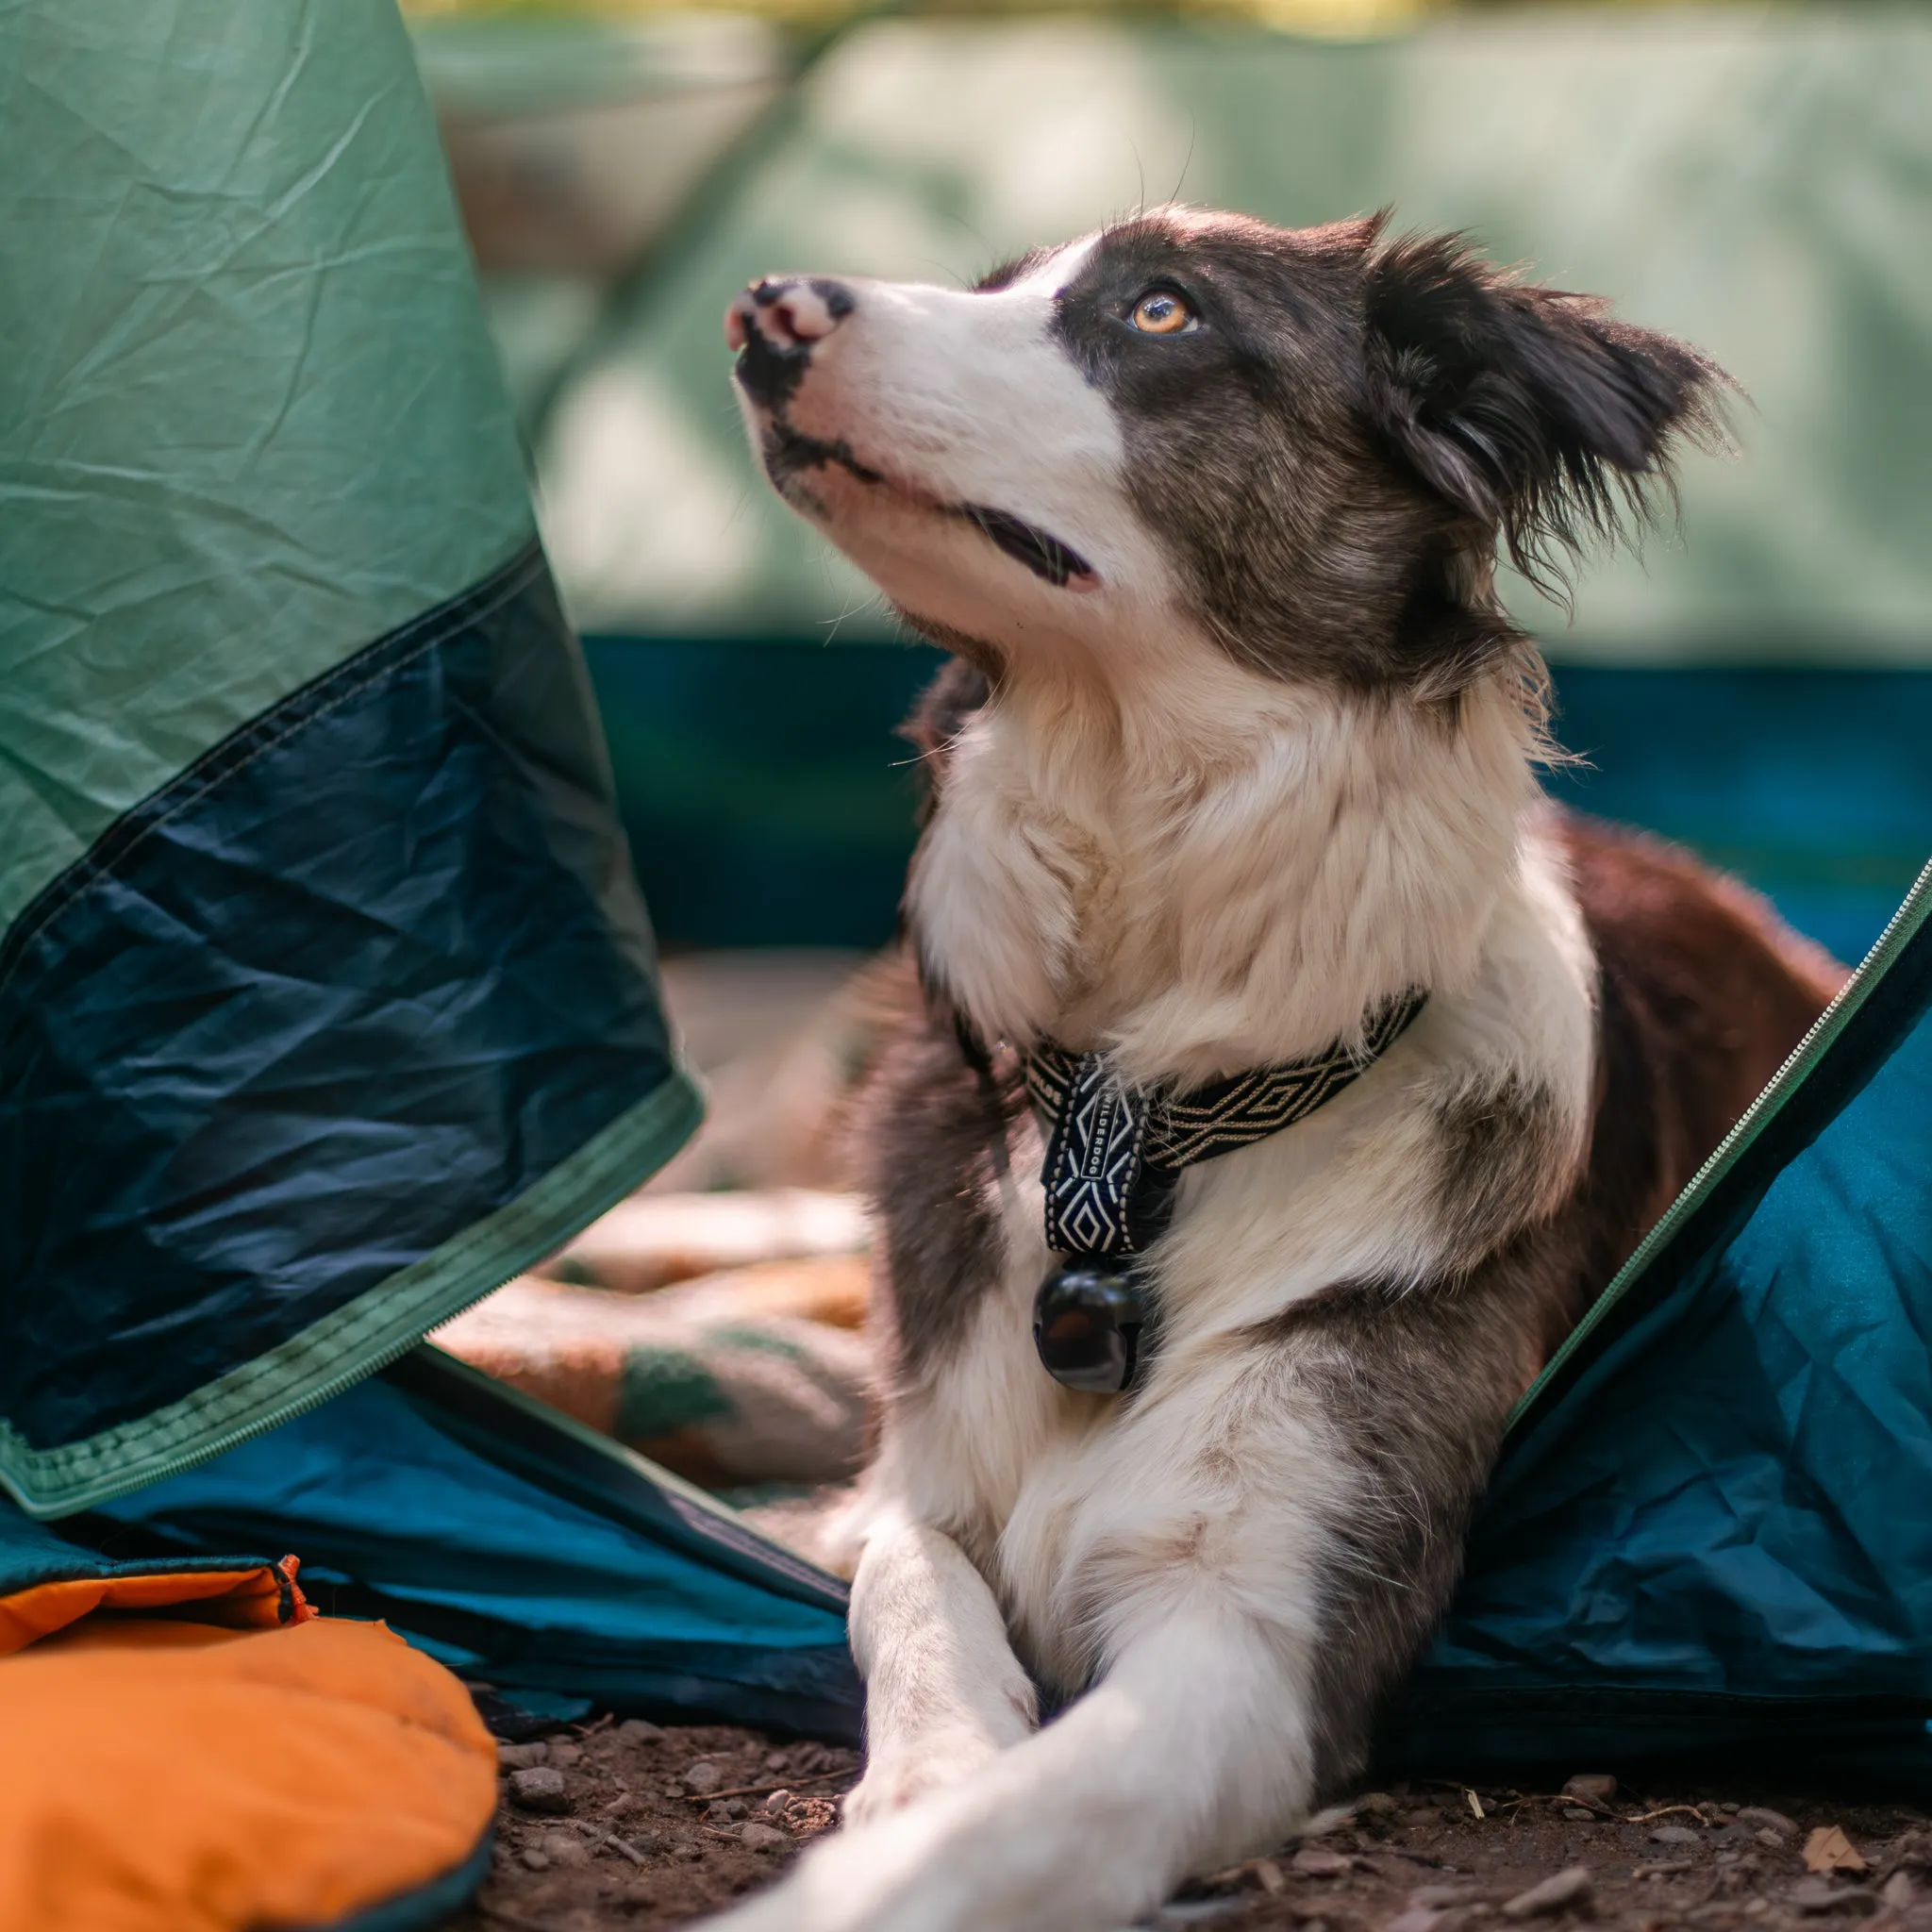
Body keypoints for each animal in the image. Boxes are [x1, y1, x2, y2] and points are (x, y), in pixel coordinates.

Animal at [710, 211, 1839, 1932]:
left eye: (1162, 310)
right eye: (987, 289)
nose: (764, 308)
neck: (1138, 1110)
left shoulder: (1259, 1630)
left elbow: (1023, 1819)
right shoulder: (918, 1478)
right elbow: (907, 1595)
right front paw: (925, 1766)